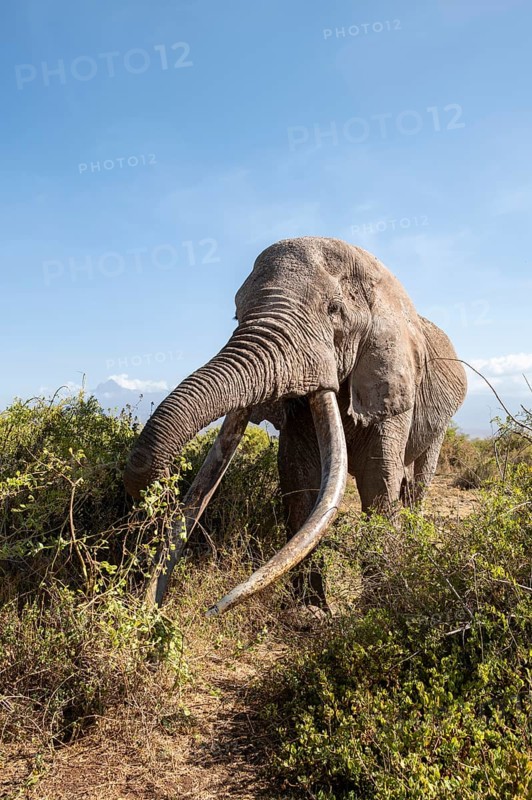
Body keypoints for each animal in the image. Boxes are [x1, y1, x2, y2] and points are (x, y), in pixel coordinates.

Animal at [124, 237, 467, 615]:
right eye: (237, 314)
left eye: (334, 309)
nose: (210, 609)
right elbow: (298, 475)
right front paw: (309, 611)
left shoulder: (391, 377)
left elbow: (378, 478)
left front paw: (378, 607)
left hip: (441, 420)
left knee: (416, 482)